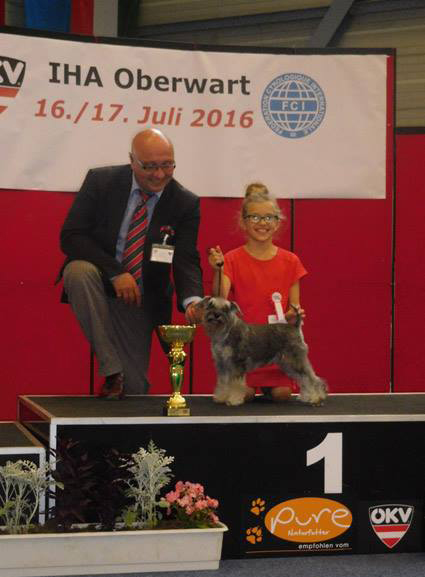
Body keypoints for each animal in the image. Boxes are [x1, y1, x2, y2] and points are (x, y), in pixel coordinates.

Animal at [196, 296, 327, 406]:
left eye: (226, 309)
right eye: (210, 305)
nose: (216, 315)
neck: (225, 332)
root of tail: (295, 326)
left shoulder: (237, 364)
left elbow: (235, 384)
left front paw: (234, 400)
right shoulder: (222, 364)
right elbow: (223, 382)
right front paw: (221, 397)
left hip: (295, 361)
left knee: (311, 378)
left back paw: (316, 398)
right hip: (288, 364)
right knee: (303, 379)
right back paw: (307, 397)